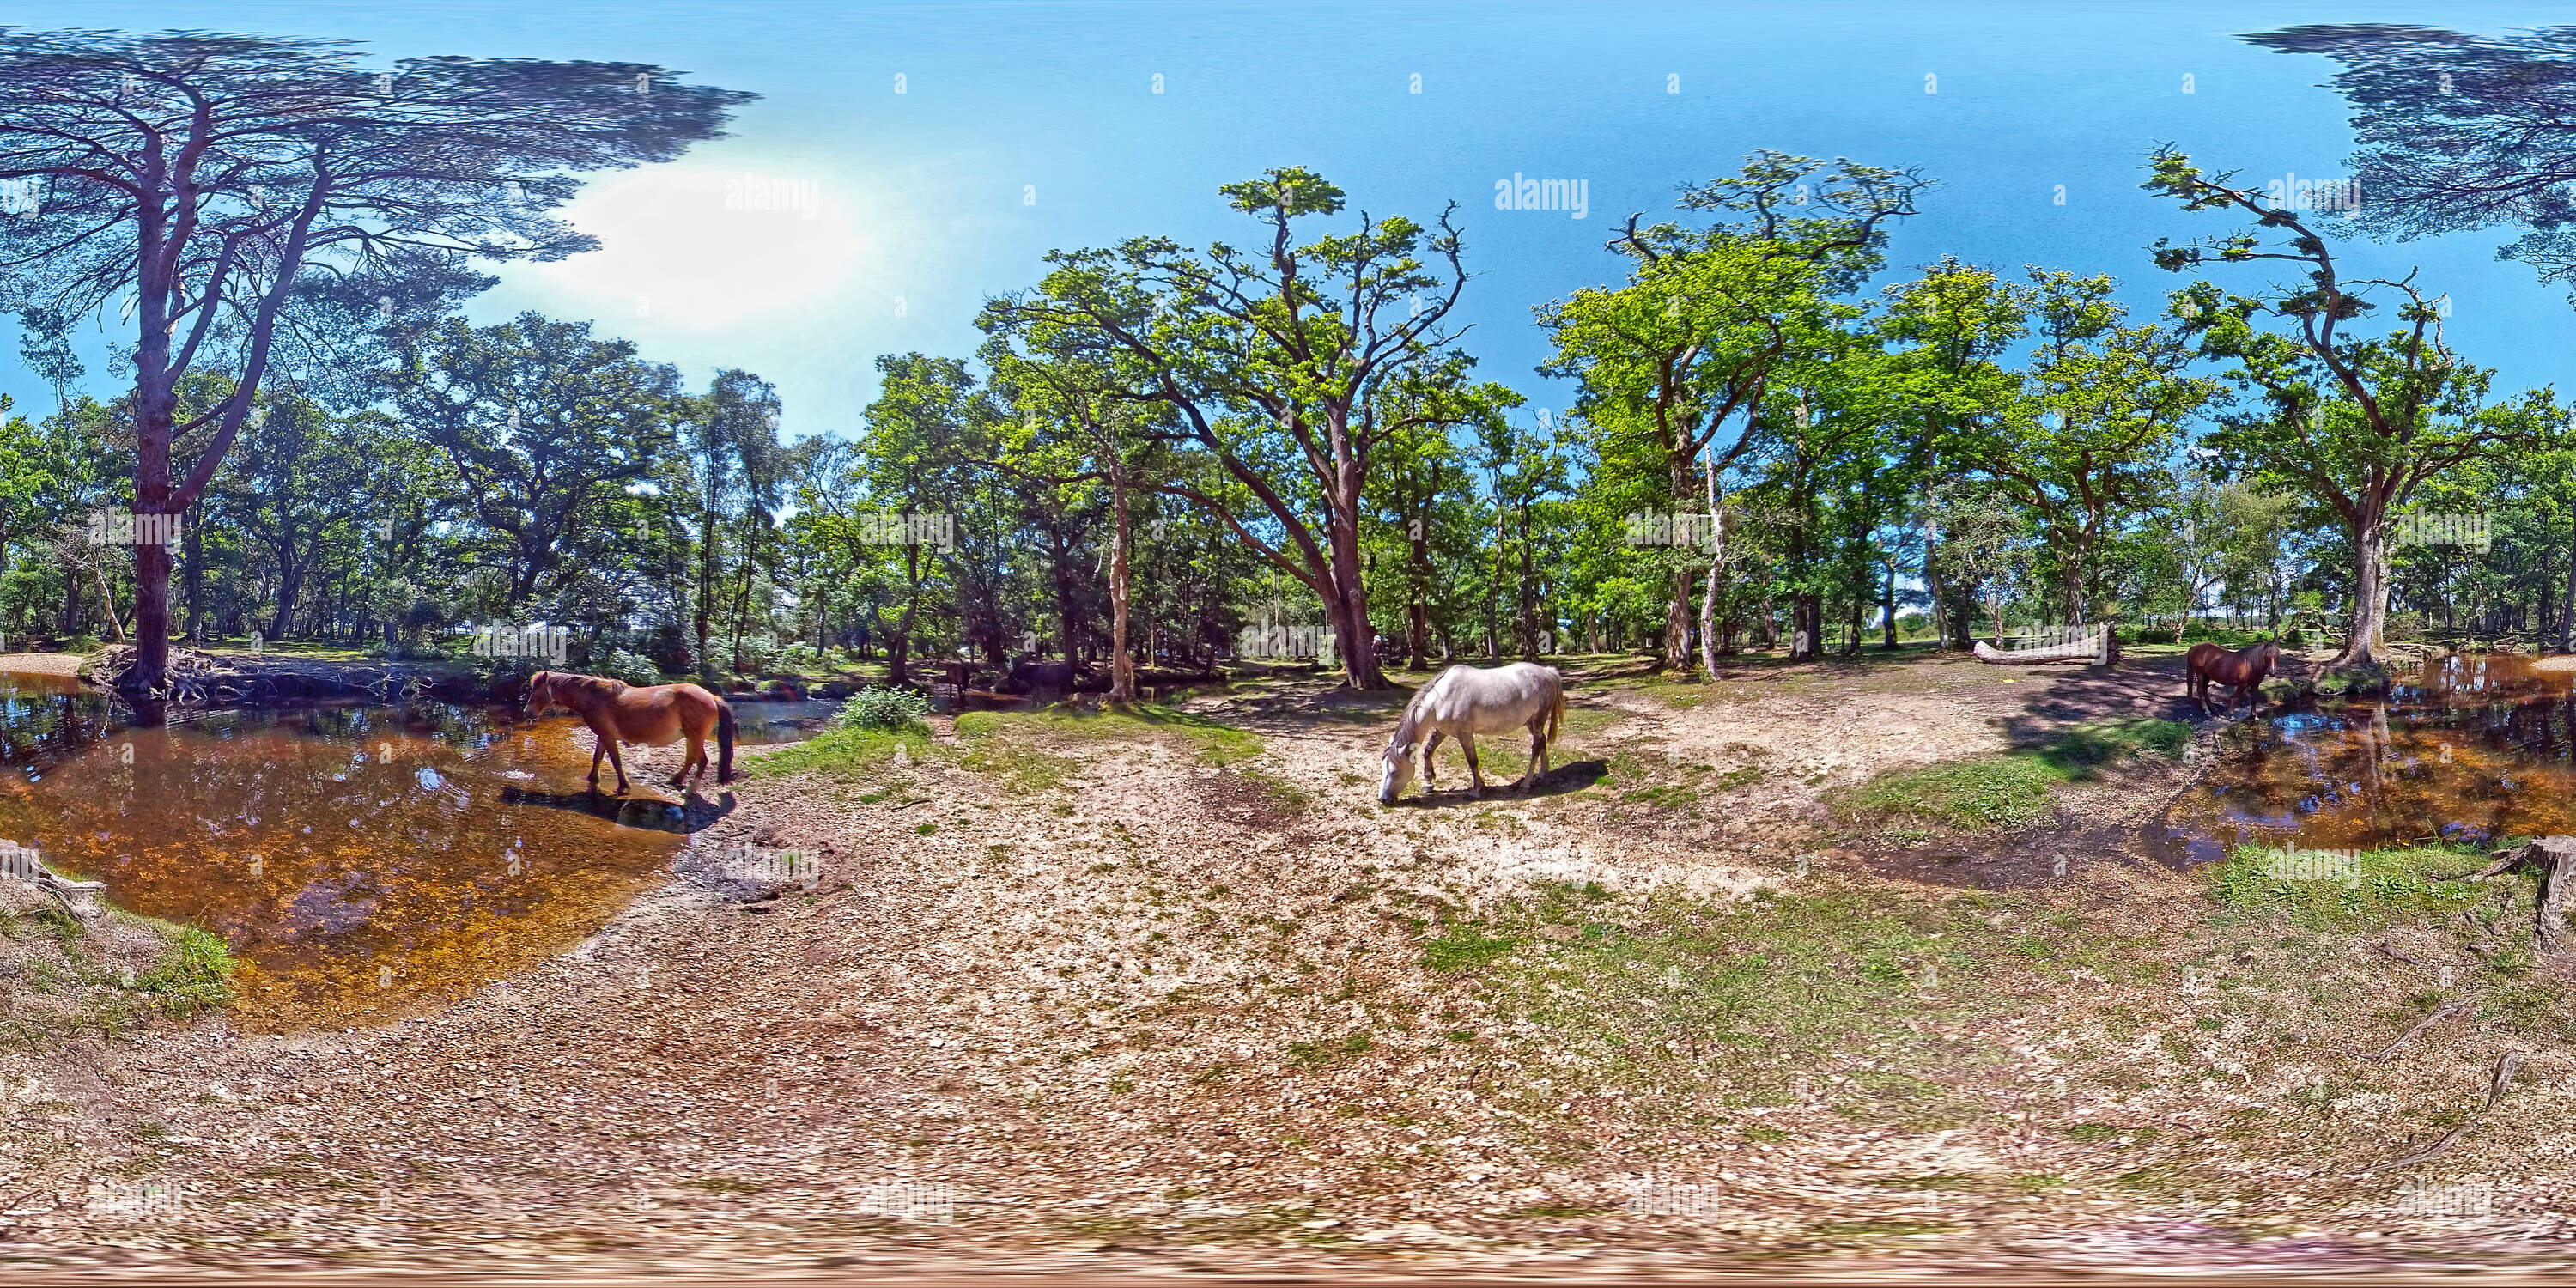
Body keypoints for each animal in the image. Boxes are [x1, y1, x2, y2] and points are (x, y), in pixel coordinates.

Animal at [526, 675, 737, 793]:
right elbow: (597, 758)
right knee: (690, 759)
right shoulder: (603, 736)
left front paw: (623, 786)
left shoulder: (608, 737)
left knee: (701, 761)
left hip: (694, 737)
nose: (527, 712)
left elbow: (616, 761)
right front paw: (592, 779)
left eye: (536, 690)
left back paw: (690, 791)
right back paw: (675, 780)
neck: (595, 697)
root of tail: (712, 696)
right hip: (691, 738)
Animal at [1381, 665, 1556, 804]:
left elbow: (1472, 761)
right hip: (1530, 722)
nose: (1383, 799)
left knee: (1536, 747)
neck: (1441, 699)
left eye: (1394, 772)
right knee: (1542, 741)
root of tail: (1548, 672)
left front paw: (1477, 789)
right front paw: (1428, 783)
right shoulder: (1442, 731)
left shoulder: (1464, 734)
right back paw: (1542, 773)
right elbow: (1428, 751)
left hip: (1538, 720)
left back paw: (1526, 783)